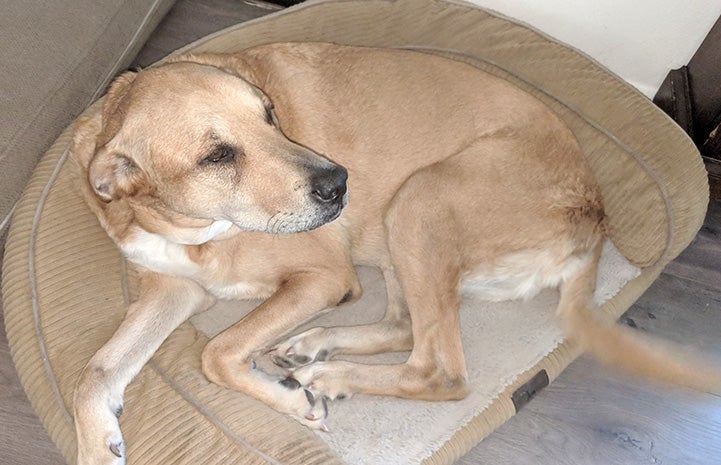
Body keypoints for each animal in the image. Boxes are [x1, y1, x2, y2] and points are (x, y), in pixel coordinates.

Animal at [70, 43, 716, 464]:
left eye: (270, 114)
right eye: (217, 156)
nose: (339, 184)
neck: (194, 229)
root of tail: (596, 218)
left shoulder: (323, 277)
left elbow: (218, 352)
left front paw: (293, 403)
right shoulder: (174, 288)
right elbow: (96, 372)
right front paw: (98, 444)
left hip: (418, 201)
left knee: (441, 370)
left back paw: (325, 373)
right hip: (400, 237)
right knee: (407, 327)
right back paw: (312, 346)